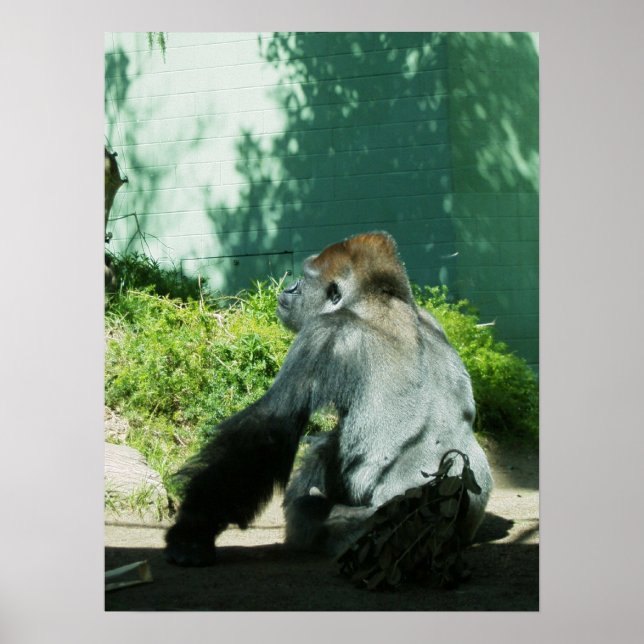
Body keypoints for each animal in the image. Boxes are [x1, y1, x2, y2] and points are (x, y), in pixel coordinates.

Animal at [165, 231, 493, 566]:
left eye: (306, 278)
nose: (289, 287)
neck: (378, 301)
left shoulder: (324, 334)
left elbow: (269, 427)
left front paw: (191, 532)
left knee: (309, 509)